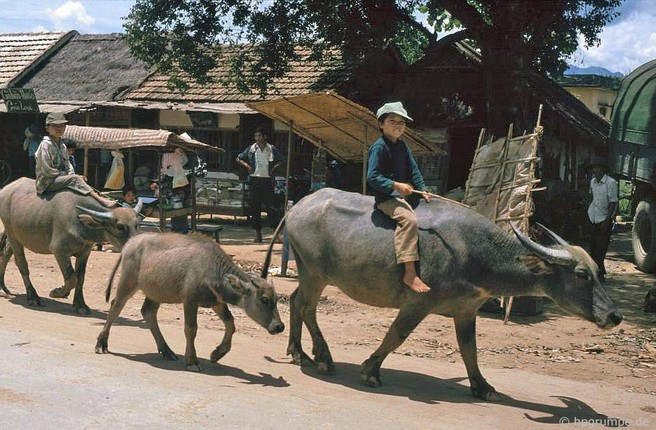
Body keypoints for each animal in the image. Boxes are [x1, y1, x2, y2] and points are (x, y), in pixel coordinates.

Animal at [0, 176, 142, 314]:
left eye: (136, 224)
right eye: (120, 227)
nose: (137, 245)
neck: (79, 220)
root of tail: (5, 189)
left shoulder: (85, 251)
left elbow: (80, 278)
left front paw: (80, 305)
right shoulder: (59, 250)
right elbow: (72, 278)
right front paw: (57, 292)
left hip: (17, 235)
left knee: (5, 254)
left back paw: (3, 288)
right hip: (12, 233)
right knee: (22, 264)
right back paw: (33, 297)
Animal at [95, 232, 284, 370]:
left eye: (276, 299)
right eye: (264, 299)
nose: (279, 326)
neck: (213, 270)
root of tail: (130, 243)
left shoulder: (216, 302)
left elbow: (231, 323)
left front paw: (217, 354)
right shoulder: (190, 301)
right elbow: (191, 329)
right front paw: (192, 360)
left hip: (156, 292)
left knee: (148, 312)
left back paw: (167, 351)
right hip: (128, 282)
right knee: (116, 306)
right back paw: (101, 343)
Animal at [260, 188, 620, 400]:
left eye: (597, 271)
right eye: (581, 274)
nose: (614, 315)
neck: (476, 253)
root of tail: (298, 206)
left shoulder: (467, 310)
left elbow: (469, 349)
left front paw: (482, 386)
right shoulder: (417, 304)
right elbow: (396, 336)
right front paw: (370, 370)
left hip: (309, 272)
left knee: (296, 302)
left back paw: (299, 353)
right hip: (315, 272)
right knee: (306, 307)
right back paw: (322, 357)